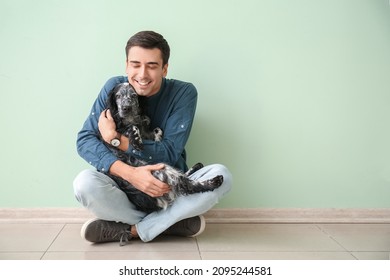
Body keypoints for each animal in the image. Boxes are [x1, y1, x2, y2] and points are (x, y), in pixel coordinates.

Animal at [100, 82, 222, 213]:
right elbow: (132, 127)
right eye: (118, 96)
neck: (131, 119)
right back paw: (215, 181)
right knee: (188, 185)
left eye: (133, 95)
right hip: (162, 171)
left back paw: (197, 166)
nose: (126, 108)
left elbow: (158, 129)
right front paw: (137, 140)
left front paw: (157, 137)